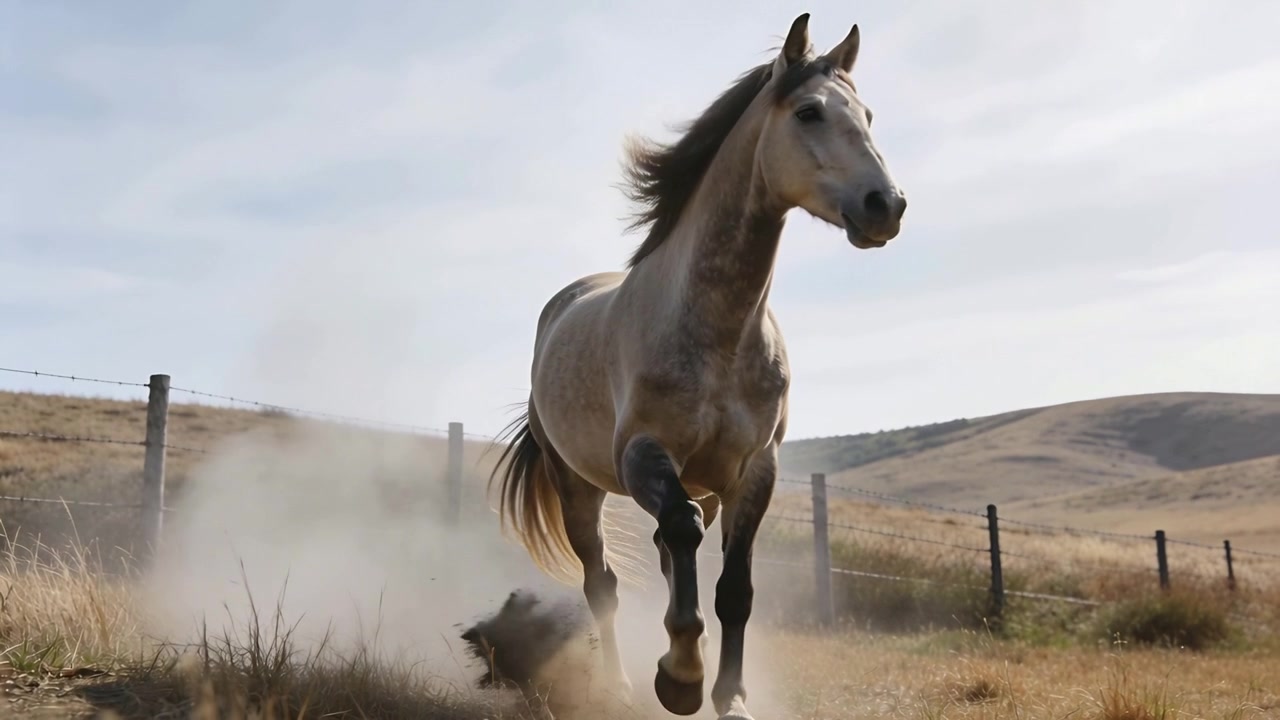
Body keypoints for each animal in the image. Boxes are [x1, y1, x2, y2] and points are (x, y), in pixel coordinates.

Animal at [491, 13, 907, 720]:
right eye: (809, 112)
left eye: (869, 115)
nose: (887, 205)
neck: (719, 335)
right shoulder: (643, 456)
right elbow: (676, 537)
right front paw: (680, 680)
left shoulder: (752, 473)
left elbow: (734, 588)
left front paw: (727, 696)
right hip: (579, 486)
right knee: (604, 579)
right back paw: (622, 685)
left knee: (667, 555)